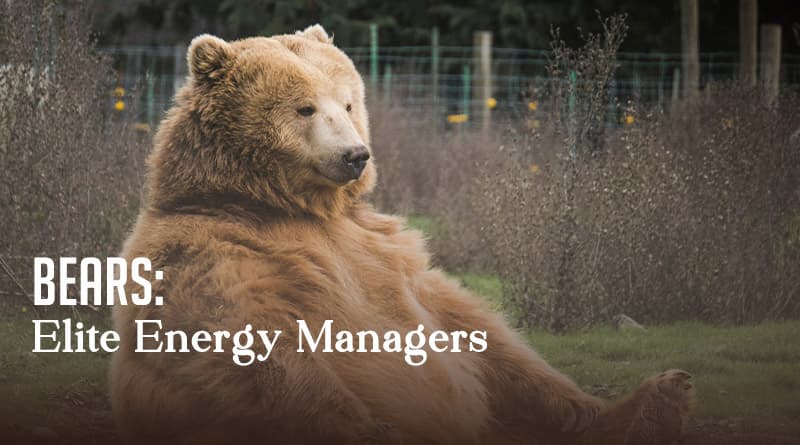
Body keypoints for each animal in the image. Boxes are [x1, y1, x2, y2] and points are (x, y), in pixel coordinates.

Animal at [110, 25, 693, 445]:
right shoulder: (210, 251)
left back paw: (660, 397)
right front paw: (373, 430)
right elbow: (246, 340)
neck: (284, 204)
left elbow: (475, 327)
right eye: (304, 107)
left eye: (347, 101)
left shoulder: (382, 248)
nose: (355, 154)